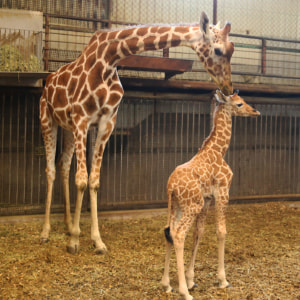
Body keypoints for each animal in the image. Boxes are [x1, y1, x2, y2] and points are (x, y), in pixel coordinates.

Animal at [39, 12, 234, 254]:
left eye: (232, 48)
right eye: (218, 50)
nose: (228, 87)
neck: (109, 59)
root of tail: (48, 80)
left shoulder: (106, 122)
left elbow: (93, 181)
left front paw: (96, 240)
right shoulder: (82, 119)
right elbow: (82, 180)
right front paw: (74, 241)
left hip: (66, 127)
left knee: (63, 166)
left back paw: (67, 224)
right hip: (48, 119)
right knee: (50, 170)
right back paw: (46, 232)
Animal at [162, 90, 260, 298]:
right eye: (239, 104)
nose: (255, 111)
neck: (218, 150)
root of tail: (171, 186)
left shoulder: (207, 199)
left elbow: (199, 232)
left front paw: (191, 279)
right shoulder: (223, 191)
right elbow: (221, 231)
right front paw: (223, 280)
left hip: (176, 206)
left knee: (169, 231)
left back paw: (166, 284)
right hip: (191, 205)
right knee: (179, 235)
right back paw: (184, 292)